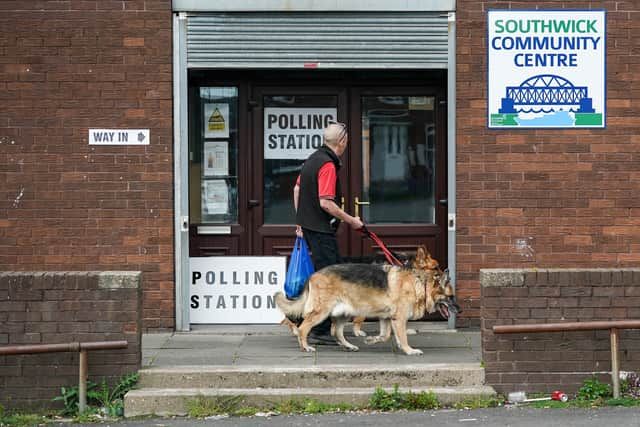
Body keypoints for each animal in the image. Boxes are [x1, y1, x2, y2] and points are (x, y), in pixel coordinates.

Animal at [276, 247, 460, 354]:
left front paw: (372, 340)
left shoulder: (387, 319)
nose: (460, 310)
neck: (418, 281)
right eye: (450, 297)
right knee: (303, 327)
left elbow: (385, 336)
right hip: (321, 312)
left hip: (343, 314)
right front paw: (409, 350)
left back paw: (348, 345)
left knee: (336, 332)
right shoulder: (398, 319)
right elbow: (401, 336)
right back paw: (305, 345)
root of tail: (313, 274)